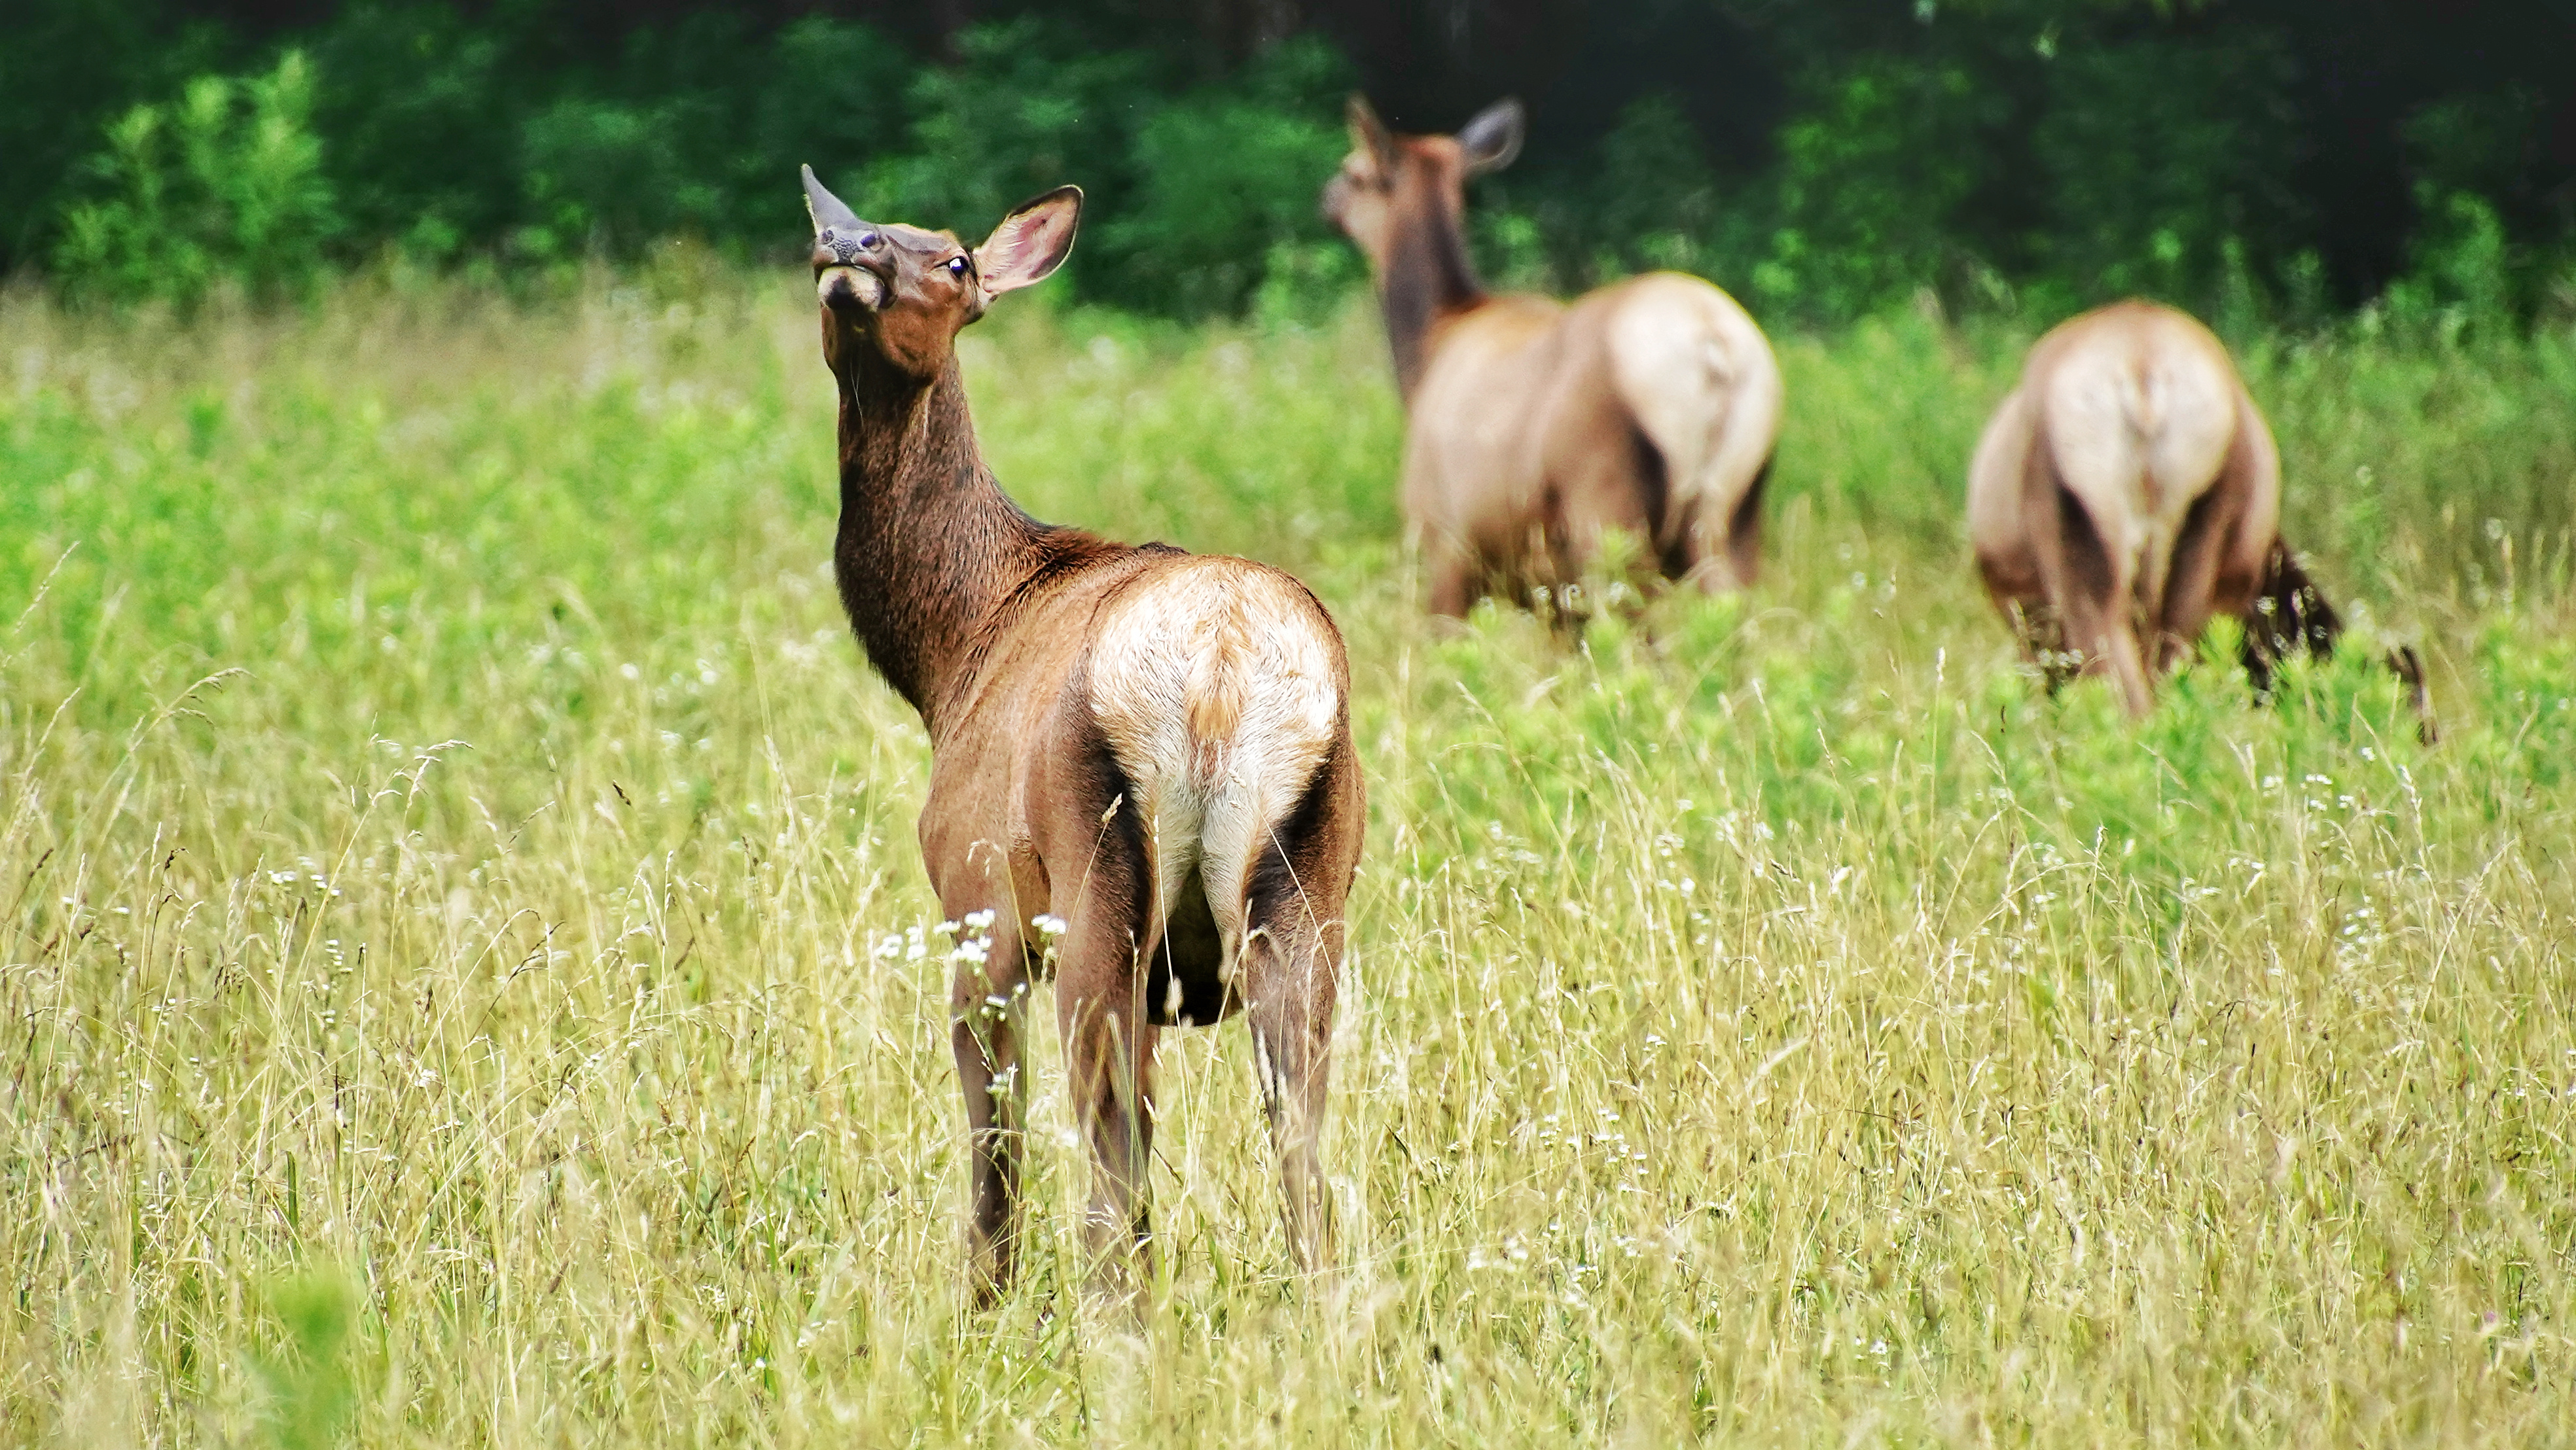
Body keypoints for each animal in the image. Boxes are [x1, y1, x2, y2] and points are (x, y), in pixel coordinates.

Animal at [798, 164, 1370, 1298]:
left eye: (957, 259)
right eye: (823, 241)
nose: (852, 245)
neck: (951, 652)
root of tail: (1221, 673)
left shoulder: (976, 902)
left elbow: (997, 1160)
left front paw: (981, 1307)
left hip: (1098, 883)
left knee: (1109, 1190)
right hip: (1305, 891)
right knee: (1303, 1178)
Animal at [1319, 99, 1782, 620]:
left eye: (1353, 172)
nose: (1325, 199)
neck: (1426, 353)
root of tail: (1714, 343)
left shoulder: (1442, 539)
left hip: (1605, 507)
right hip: (1739, 503)